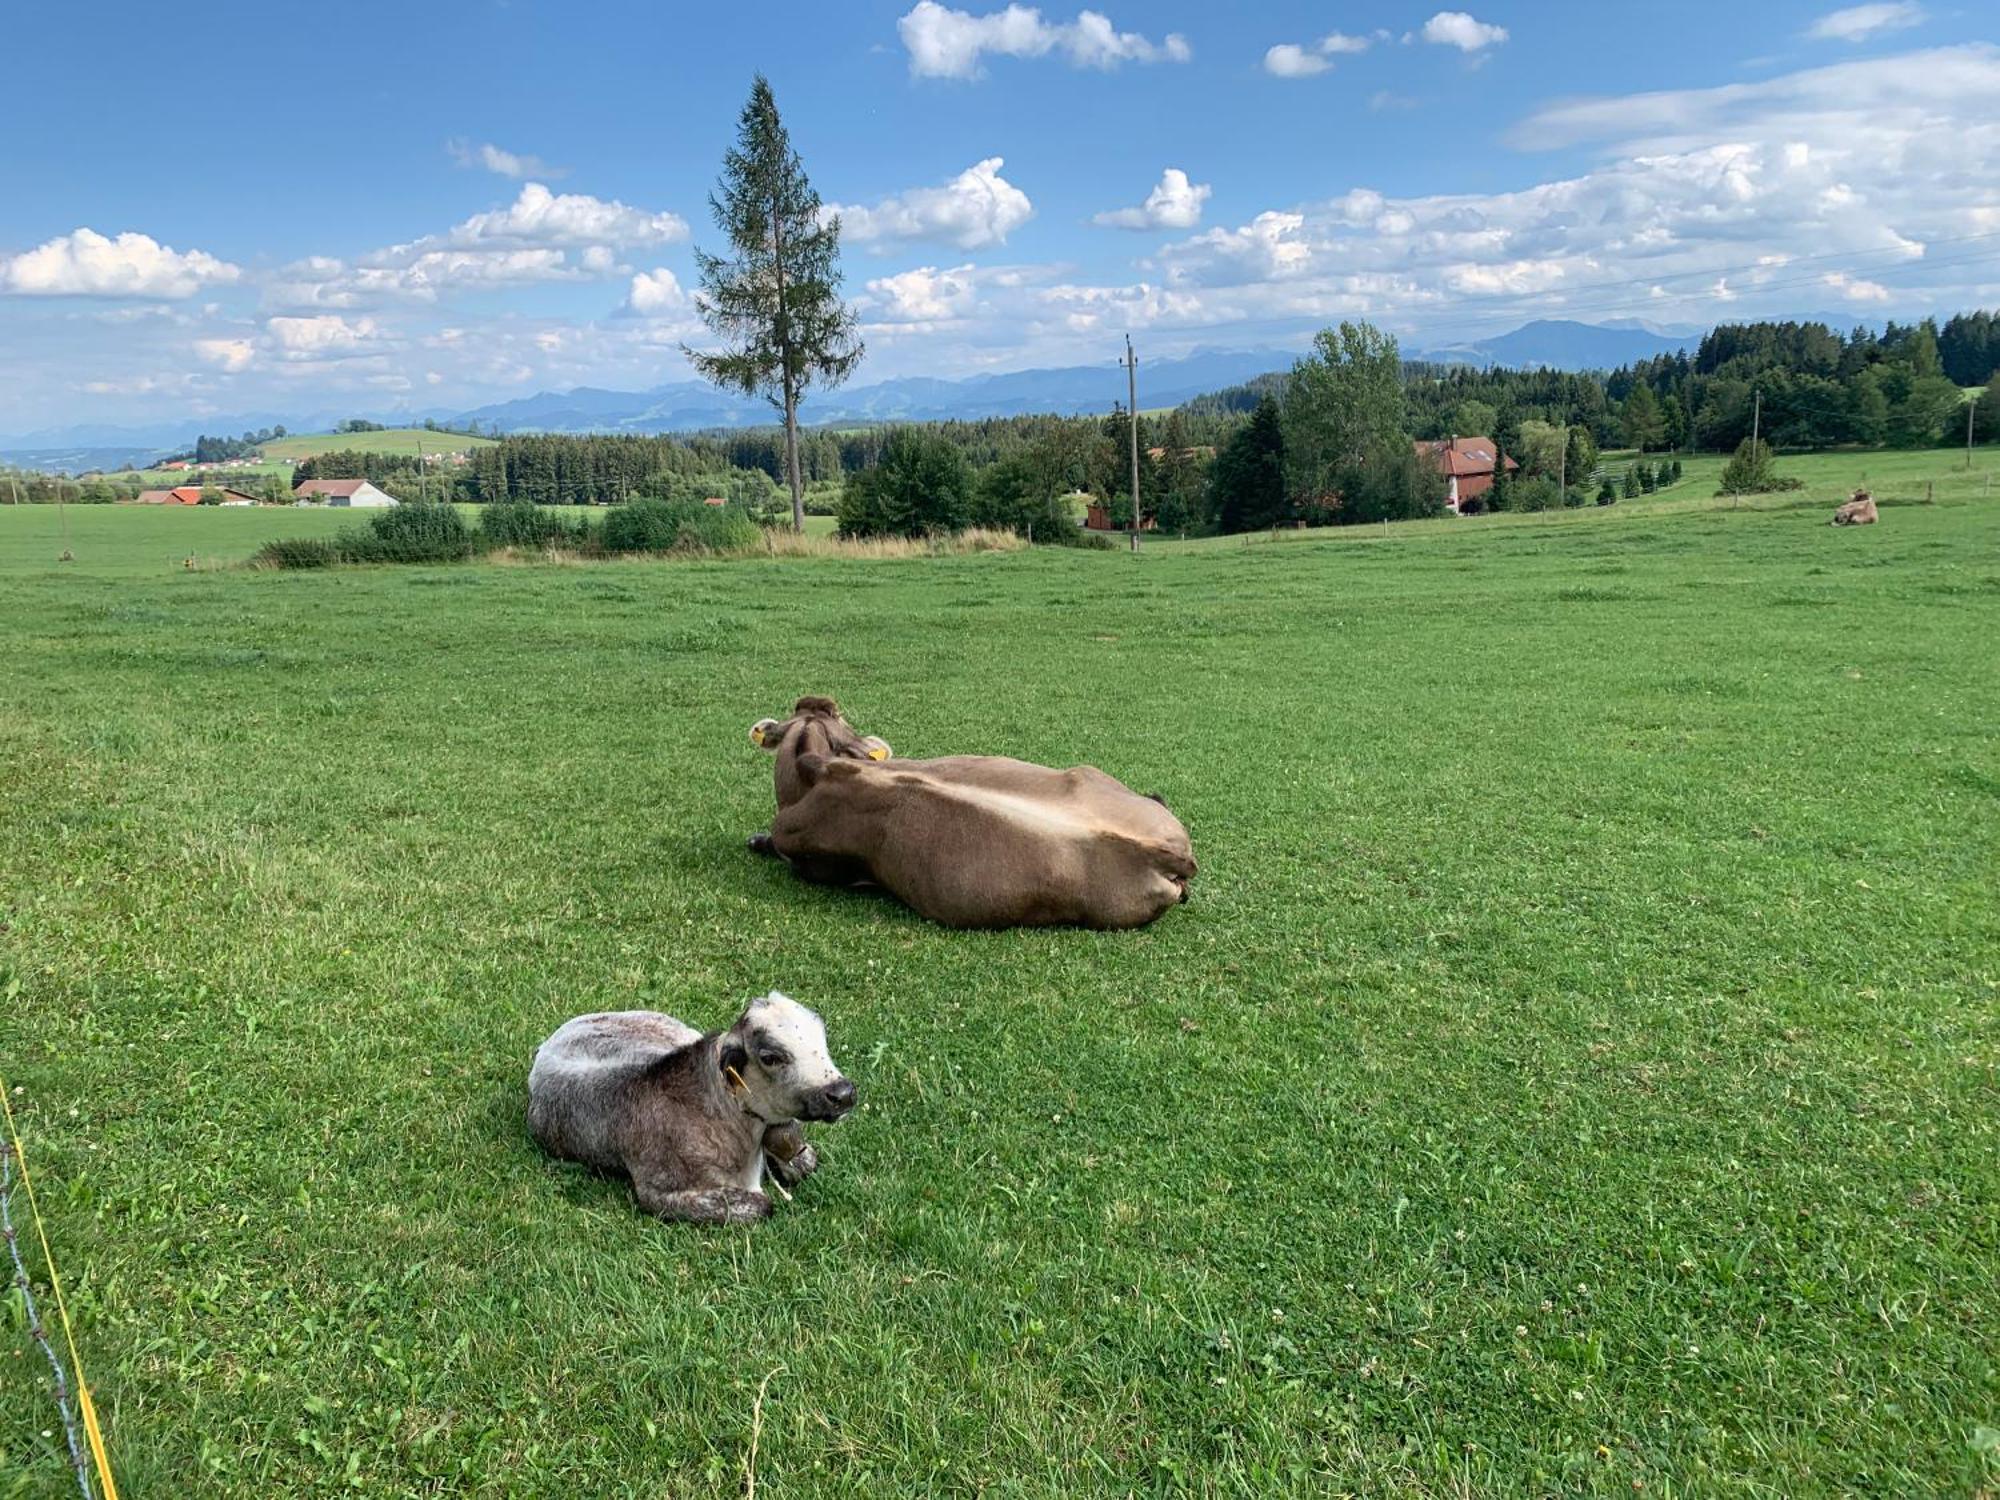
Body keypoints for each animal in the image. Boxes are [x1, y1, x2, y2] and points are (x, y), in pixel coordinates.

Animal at [528, 992, 856, 1224]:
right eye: (770, 1057)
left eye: (822, 1035)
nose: (843, 1093)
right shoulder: (658, 1194)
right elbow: (762, 1205)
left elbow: (804, 1162)